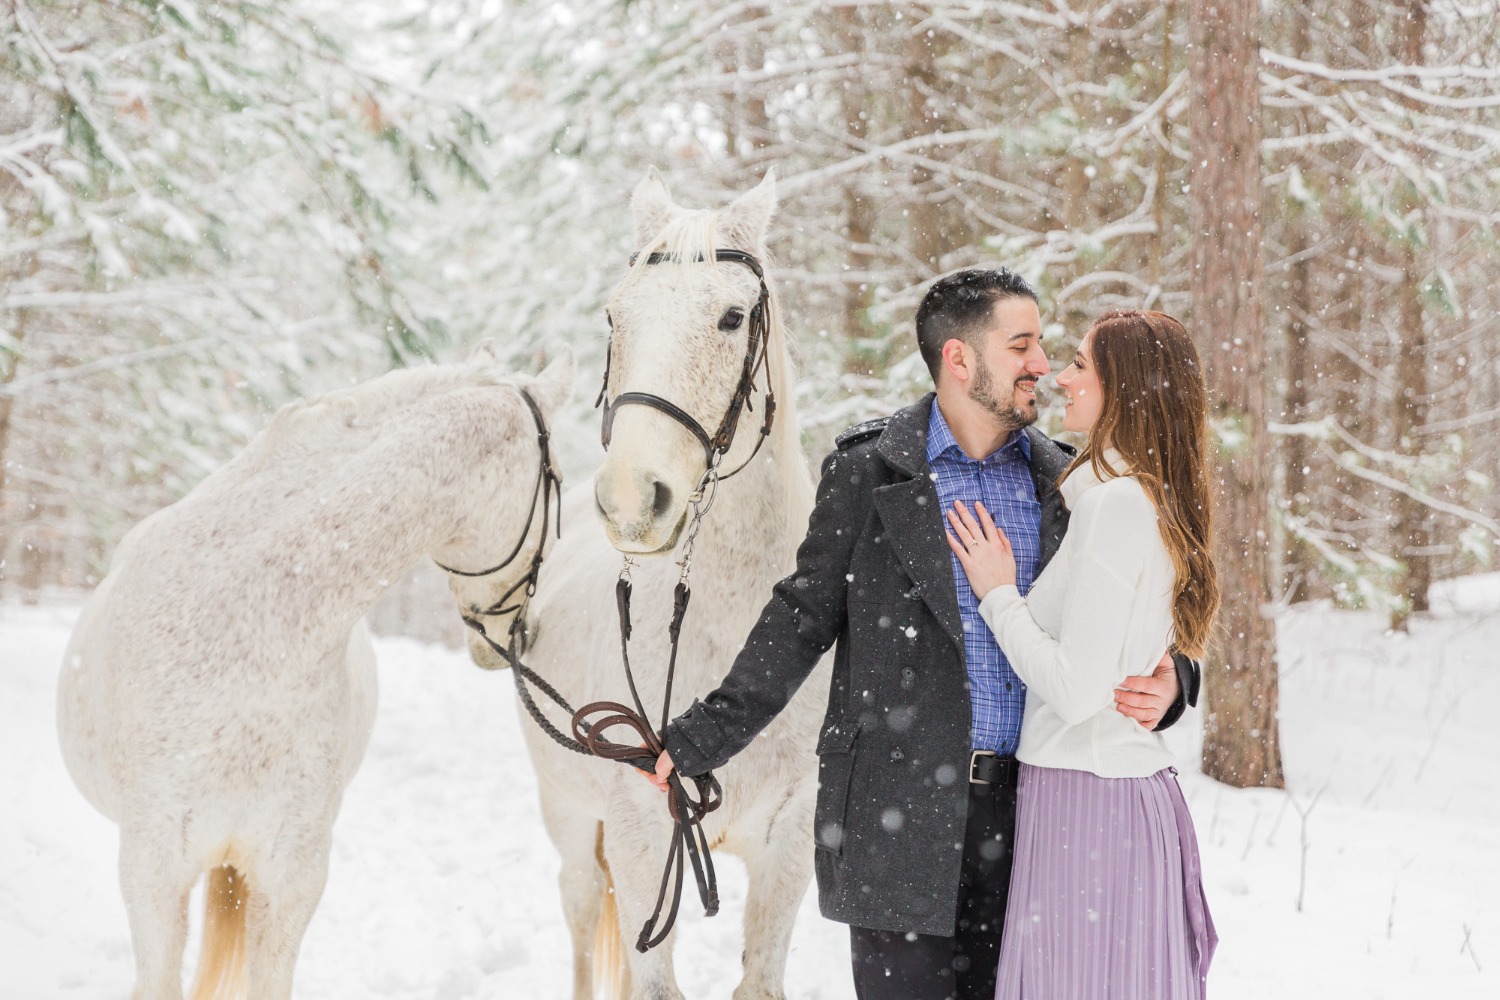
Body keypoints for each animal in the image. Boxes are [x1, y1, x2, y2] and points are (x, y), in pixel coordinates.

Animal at [489, 172, 822, 1000]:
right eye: (616, 315)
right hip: (572, 818)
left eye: (731, 317)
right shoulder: (642, 837)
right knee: (581, 914)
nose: (631, 500)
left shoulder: (790, 838)